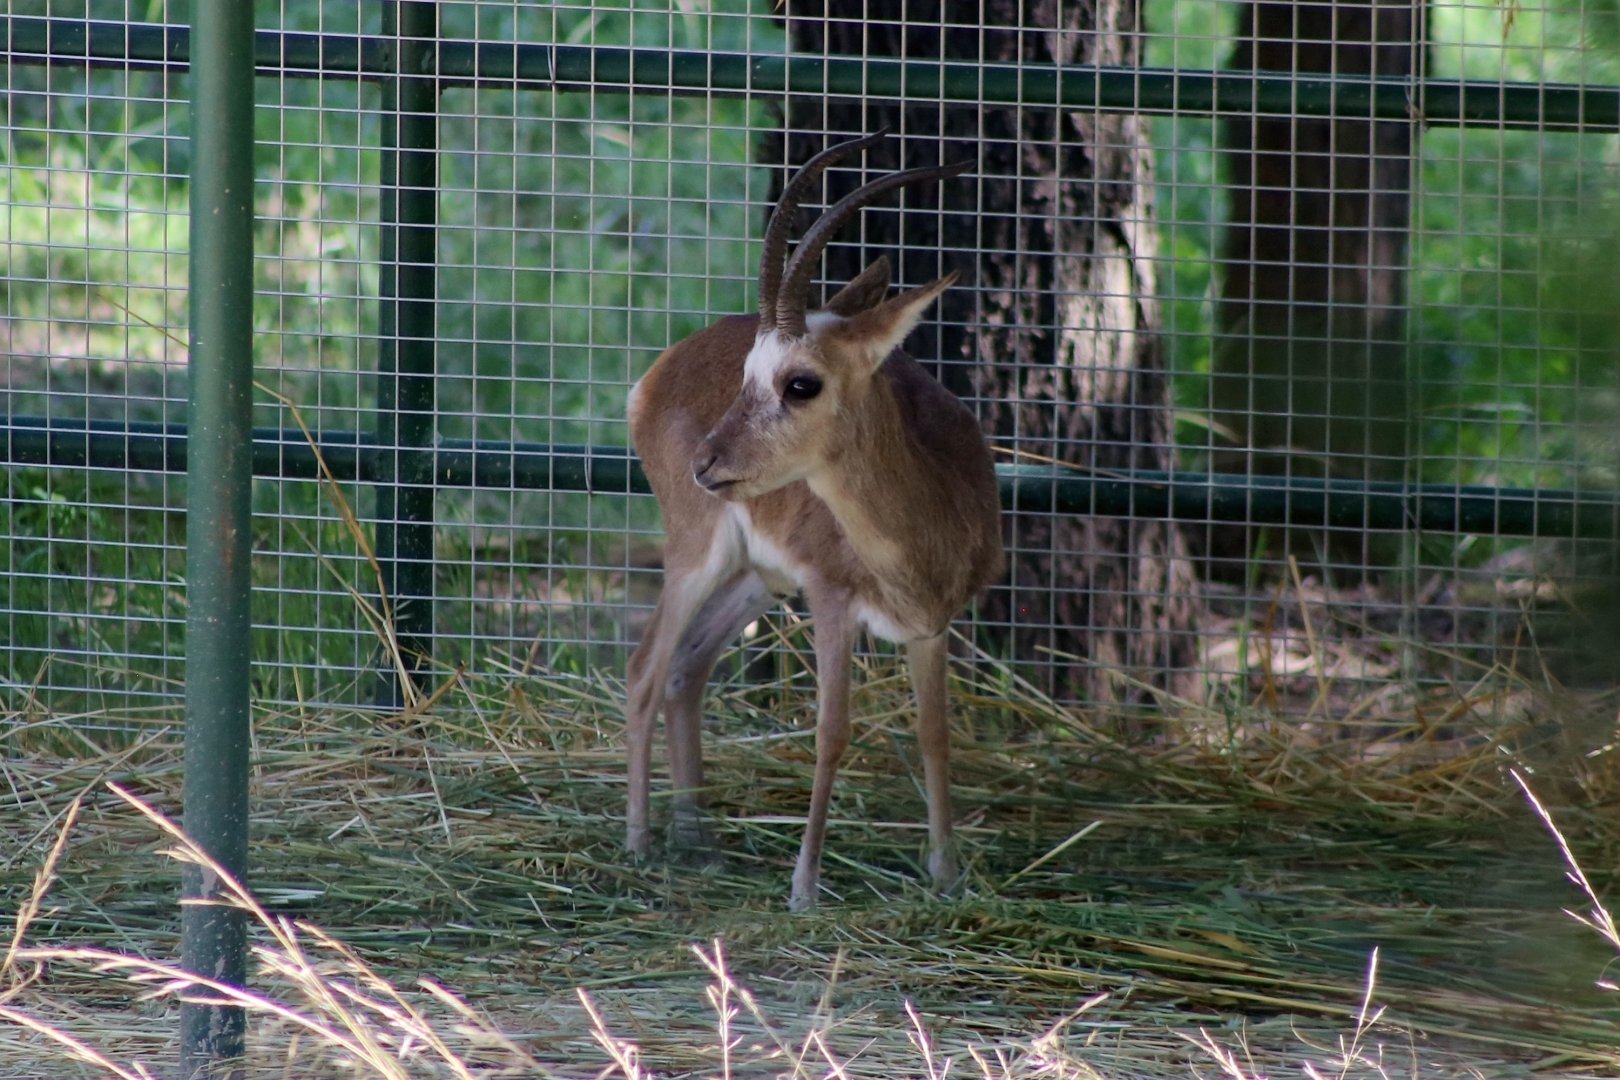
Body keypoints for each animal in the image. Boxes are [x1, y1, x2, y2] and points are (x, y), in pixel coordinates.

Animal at [625, 131, 1003, 911]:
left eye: (802, 383)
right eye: (748, 375)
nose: (708, 462)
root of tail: (656, 373)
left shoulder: (932, 626)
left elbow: (935, 732)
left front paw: (946, 872)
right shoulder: (831, 602)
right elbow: (832, 731)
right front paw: (804, 887)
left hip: (758, 580)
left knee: (685, 670)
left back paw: (696, 839)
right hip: (696, 555)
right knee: (645, 669)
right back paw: (640, 841)